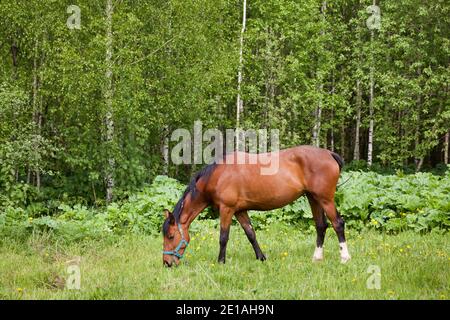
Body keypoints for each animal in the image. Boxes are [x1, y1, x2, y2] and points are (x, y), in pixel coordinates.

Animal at [163, 146, 352, 266]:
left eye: (171, 236)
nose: (167, 263)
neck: (218, 175)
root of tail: (329, 154)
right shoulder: (240, 211)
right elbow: (251, 234)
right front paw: (261, 257)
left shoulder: (227, 209)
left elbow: (223, 237)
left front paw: (220, 262)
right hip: (313, 198)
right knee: (321, 226)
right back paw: (317, 258)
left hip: (325, 199)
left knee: (337, 224)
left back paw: (344, 258)